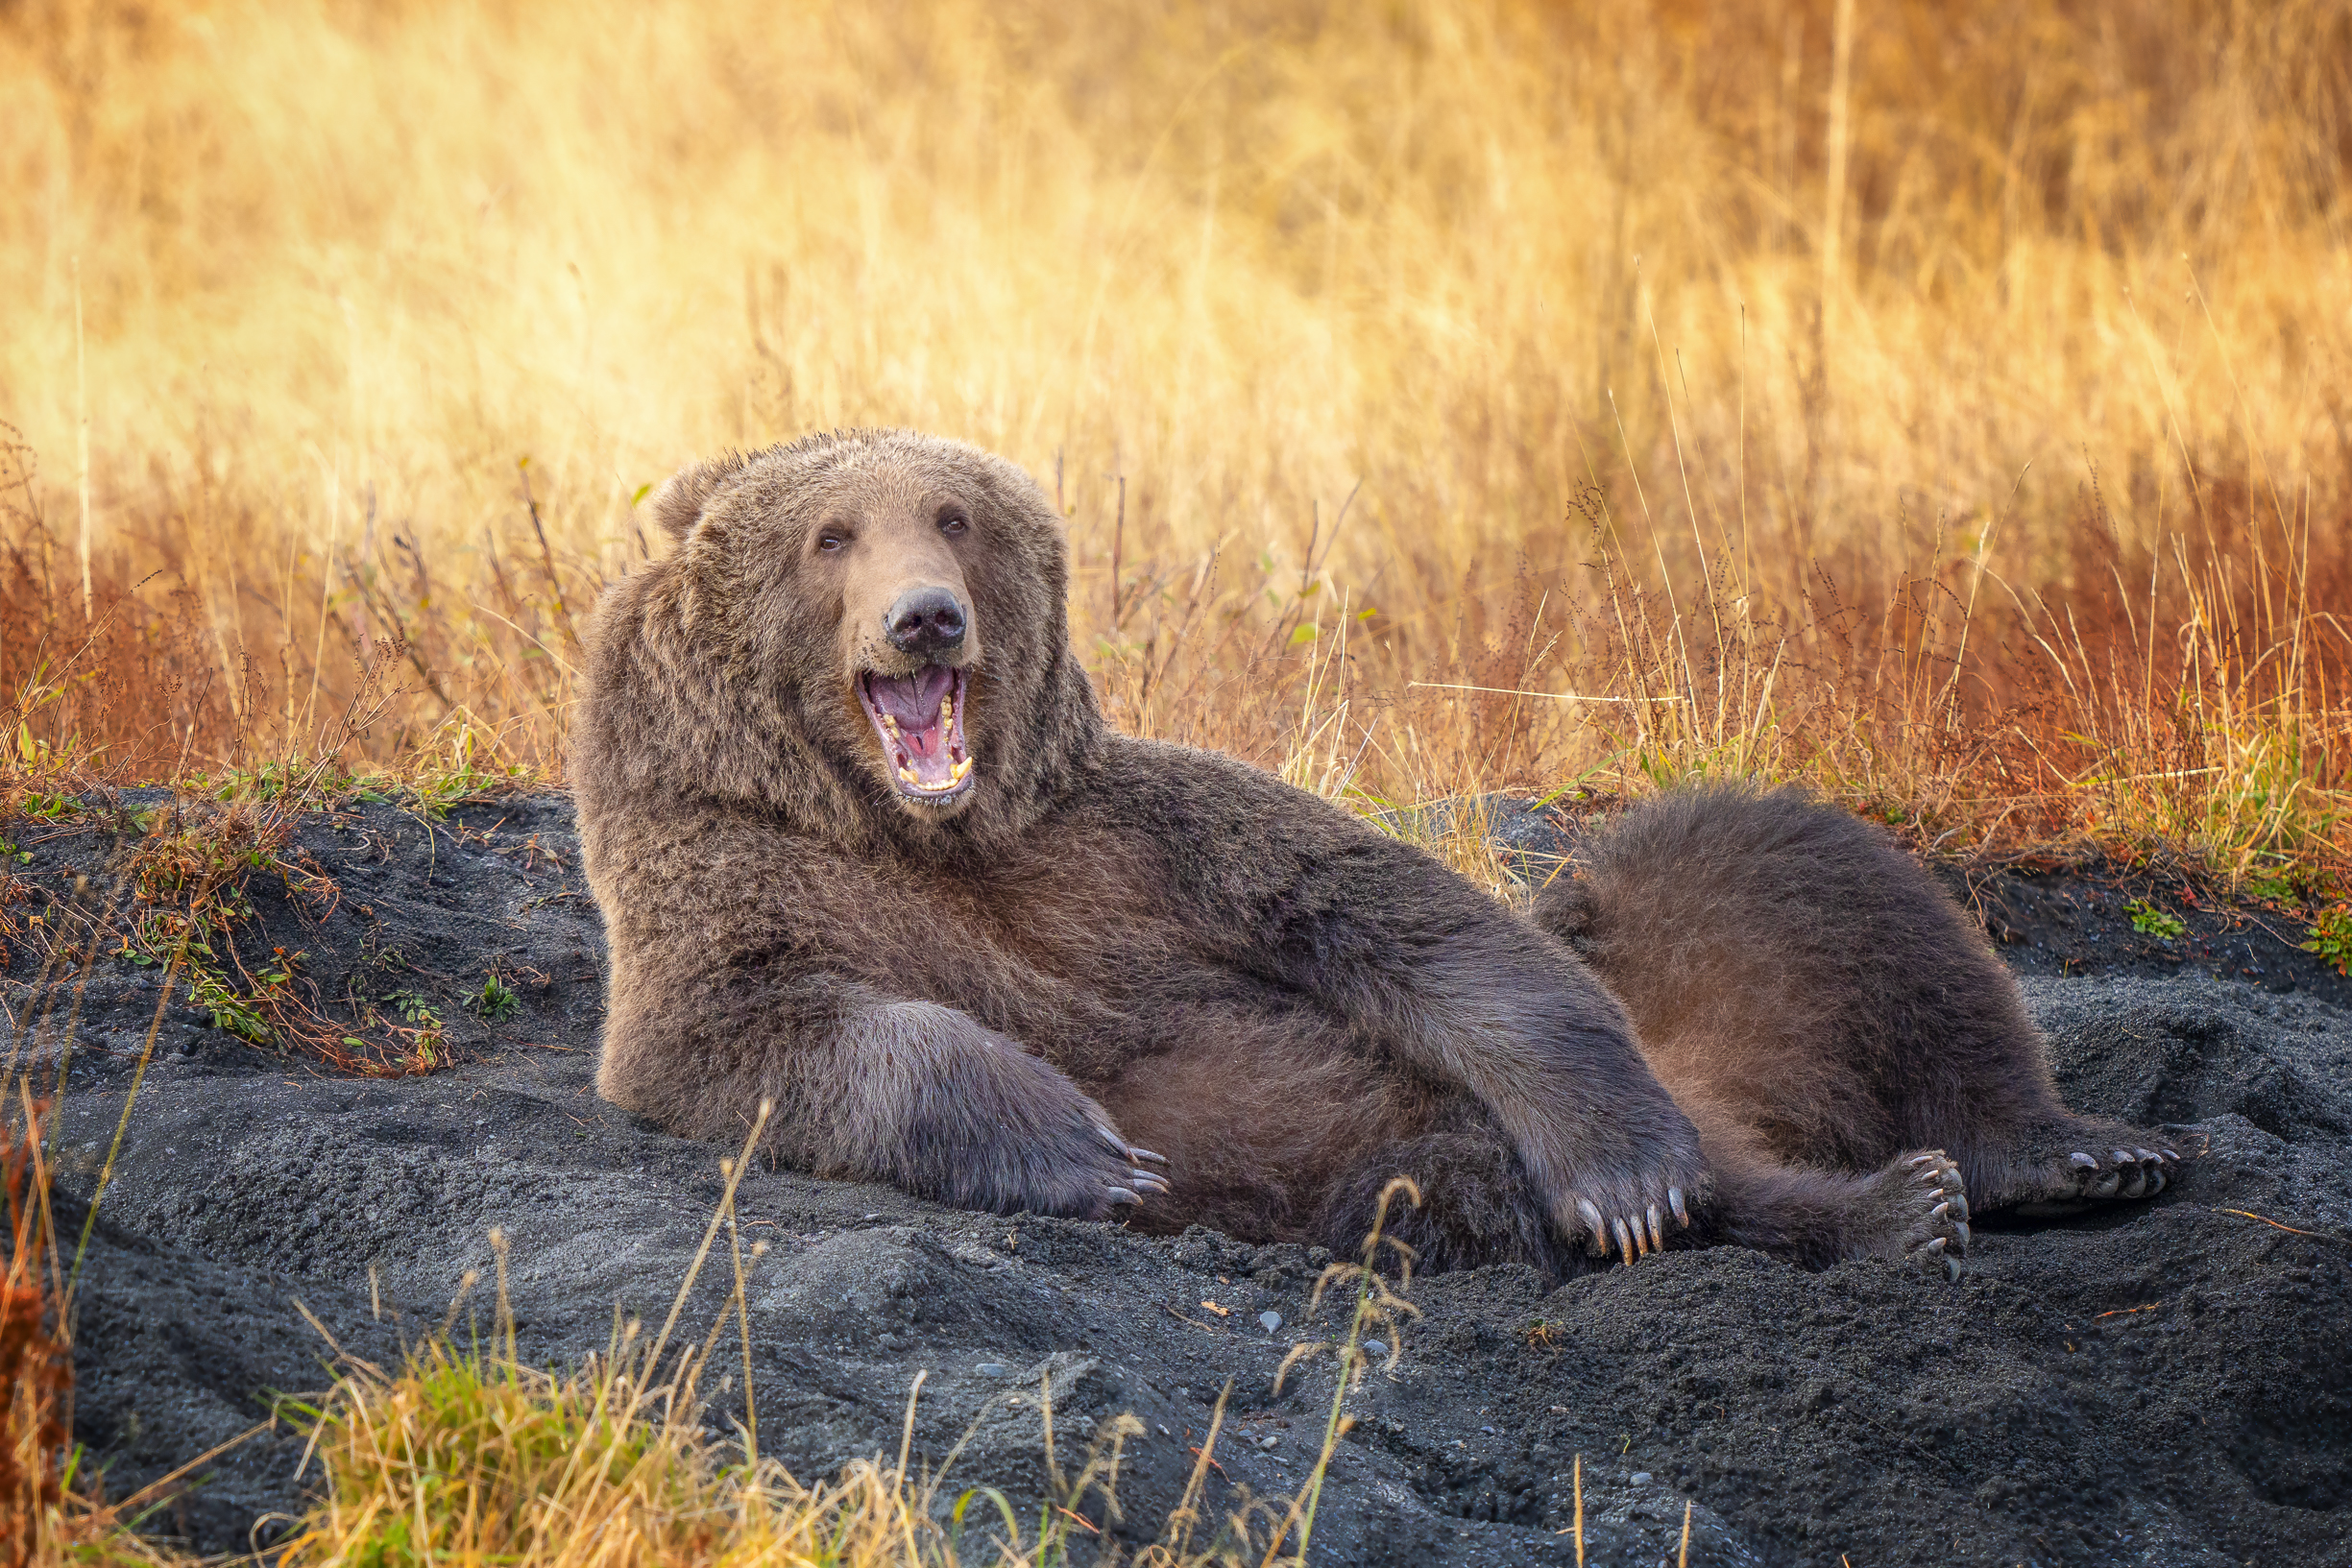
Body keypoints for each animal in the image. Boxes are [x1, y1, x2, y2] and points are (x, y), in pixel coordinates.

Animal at [570, 428, 1972, 1280]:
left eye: (953, 517)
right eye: (831, 535)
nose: (925, 619)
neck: (919, 823)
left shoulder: (1137, 841)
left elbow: (1415, 923)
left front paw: (1627, 1178)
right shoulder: (732, 876)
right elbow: (756, 1032)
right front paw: (1092, 1149)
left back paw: (1907, 1202)